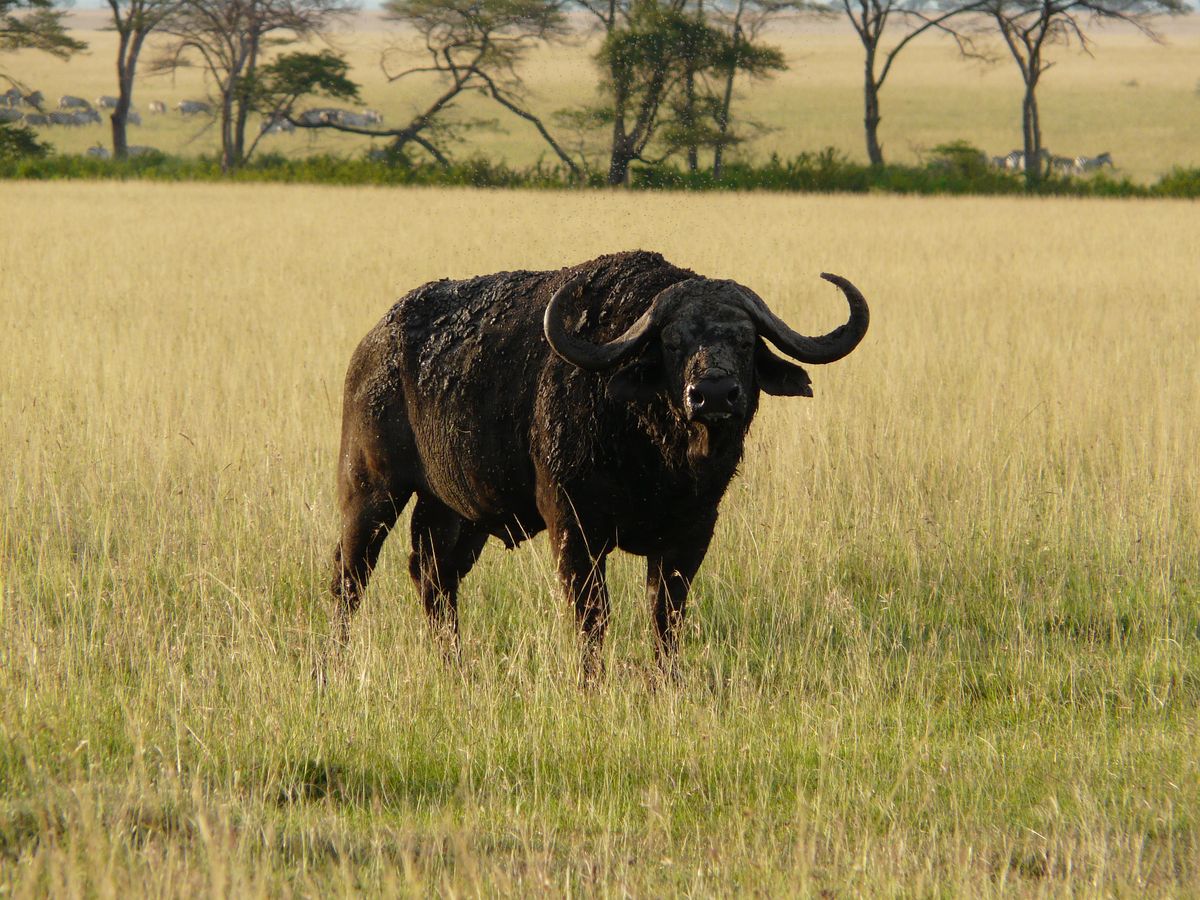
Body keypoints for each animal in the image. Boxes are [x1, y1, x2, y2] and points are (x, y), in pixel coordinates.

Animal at [329, 251, 869, 677]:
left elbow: (666, 613)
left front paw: (666, 682)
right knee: (349, 576)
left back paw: (455, 669)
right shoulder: (574, 528)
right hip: (370, 490)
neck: (661, 463)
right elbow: (592, 614)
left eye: (745, 341)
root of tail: (374, 346)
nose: (713, 393)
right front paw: (591, 683)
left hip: (454, 510)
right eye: (673, 342)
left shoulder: (694, 531)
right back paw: (332, 664)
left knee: (435, 578)